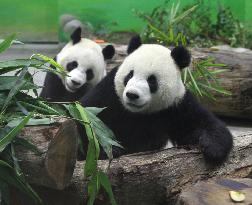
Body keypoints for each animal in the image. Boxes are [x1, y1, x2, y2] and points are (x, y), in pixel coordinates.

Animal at [78, 35, 232, 165]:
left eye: (152, 80)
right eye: (130, 75)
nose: (132, 95)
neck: (138, 113)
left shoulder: (176, 105)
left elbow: (204, 123)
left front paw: (213, 150)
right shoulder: (110, 92)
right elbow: (87, 117)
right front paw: (108, 149)